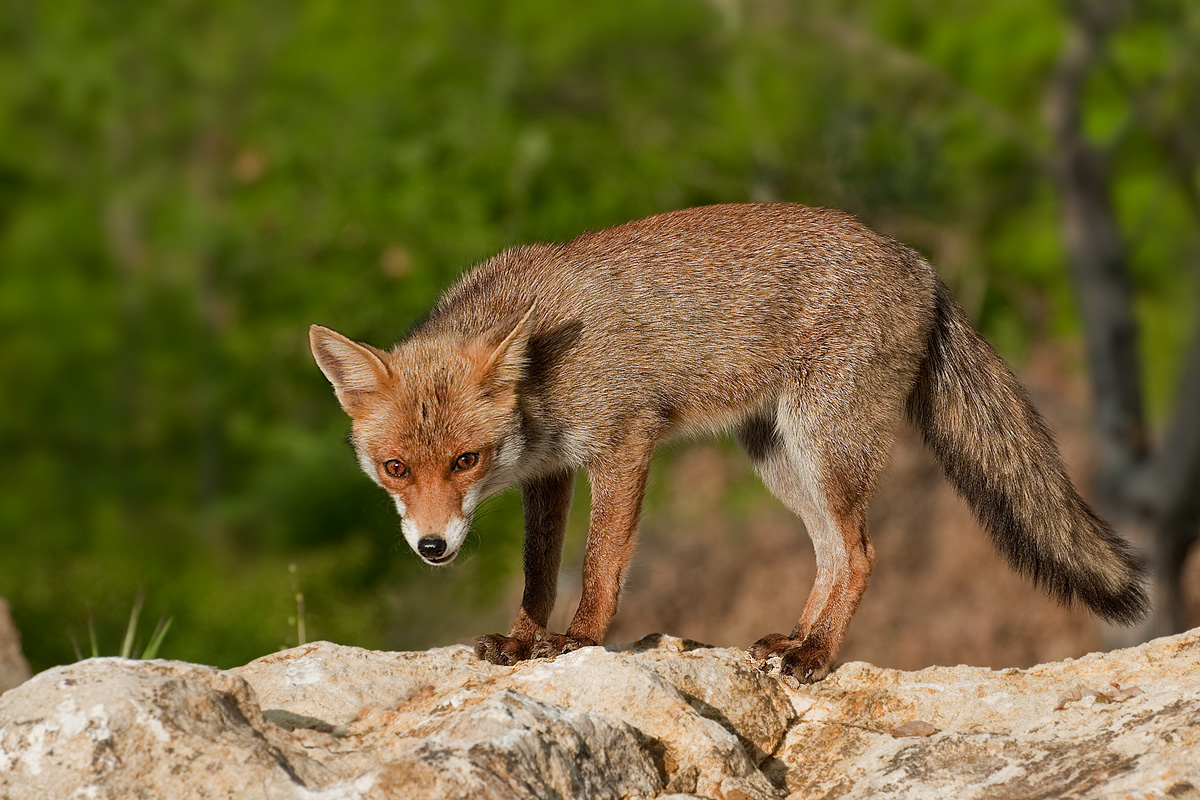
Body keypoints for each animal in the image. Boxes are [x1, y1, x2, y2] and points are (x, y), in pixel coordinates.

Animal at [309, 202, 1148, 683]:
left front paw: (577, 642)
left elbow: (599, 565)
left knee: (863, 552)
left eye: (465, 461)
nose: (433, 548)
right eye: (395, 468)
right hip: (777, 457)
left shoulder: (623, 444)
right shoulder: (550, 473)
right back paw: (797, 640)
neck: (544, 363)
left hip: (824, 444)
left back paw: (817, 656)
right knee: (831, 552)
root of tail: (919, 263)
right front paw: (522, 641)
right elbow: (537, 574)